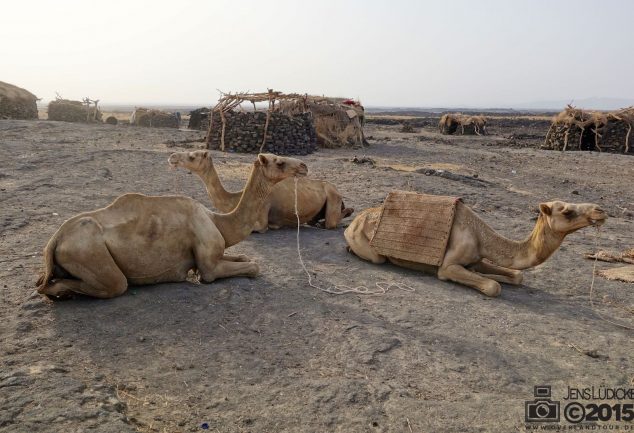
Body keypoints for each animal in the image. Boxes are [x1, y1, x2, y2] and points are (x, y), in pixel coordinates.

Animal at [165, 150, 354, 231]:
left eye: (191, 156)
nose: (172, 156)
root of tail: (336, 190)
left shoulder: (262, 216)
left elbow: (262, 227)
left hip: (333, 197)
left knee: (331, 222)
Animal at [344, 191, 604, 296]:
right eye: (567, 211)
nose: (600, 211)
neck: (480, 235)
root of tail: (353, 222)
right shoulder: (448, 266)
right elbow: (492, 286)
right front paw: (487, 280)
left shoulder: (477, 258)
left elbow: (517, 276)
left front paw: (493, 275)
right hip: (369, 247)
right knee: (376, 257)